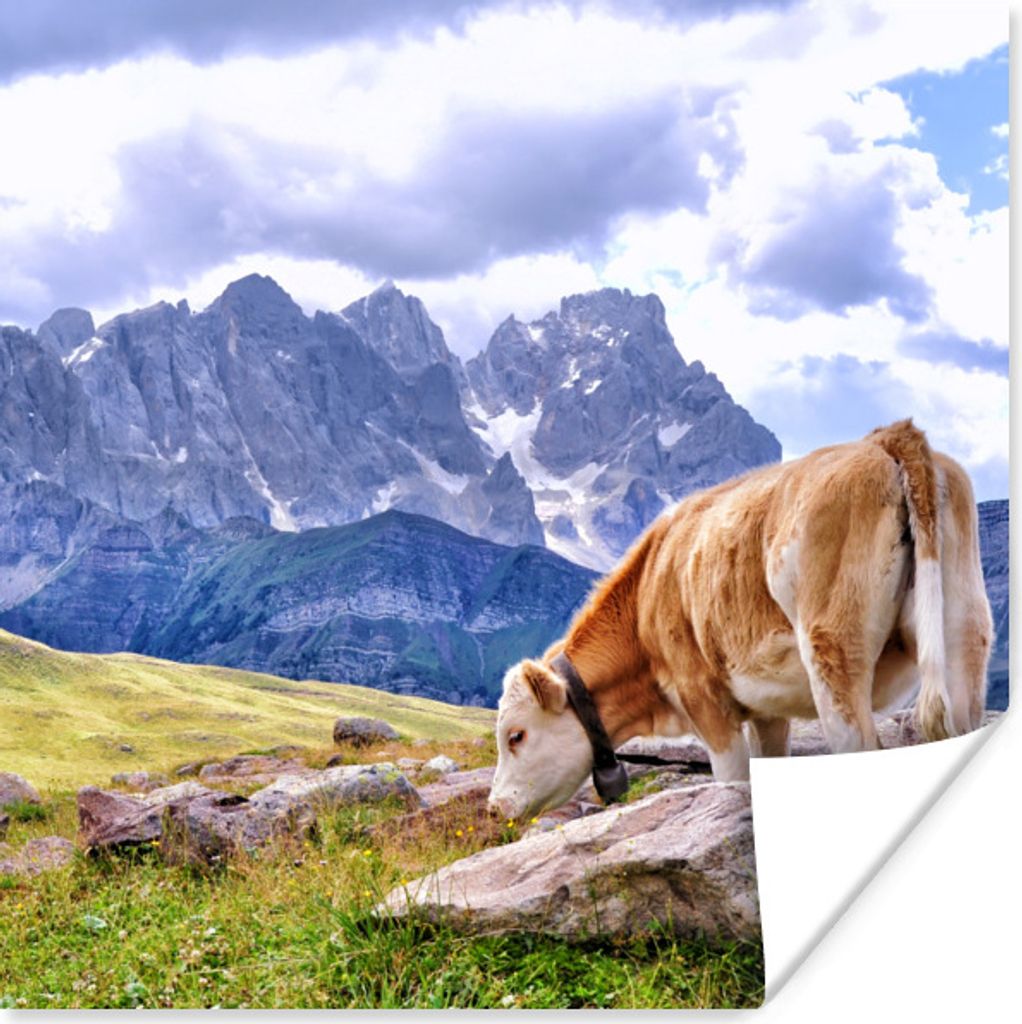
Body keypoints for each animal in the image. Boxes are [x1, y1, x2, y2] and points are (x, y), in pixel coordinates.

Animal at [488, 420, 993, 821]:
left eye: (516, 735)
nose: (493, 808)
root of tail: (886, 438)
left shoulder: (703, 697)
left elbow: (732, 782)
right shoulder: (768, 711)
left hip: (834, 651)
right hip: (964, 629)